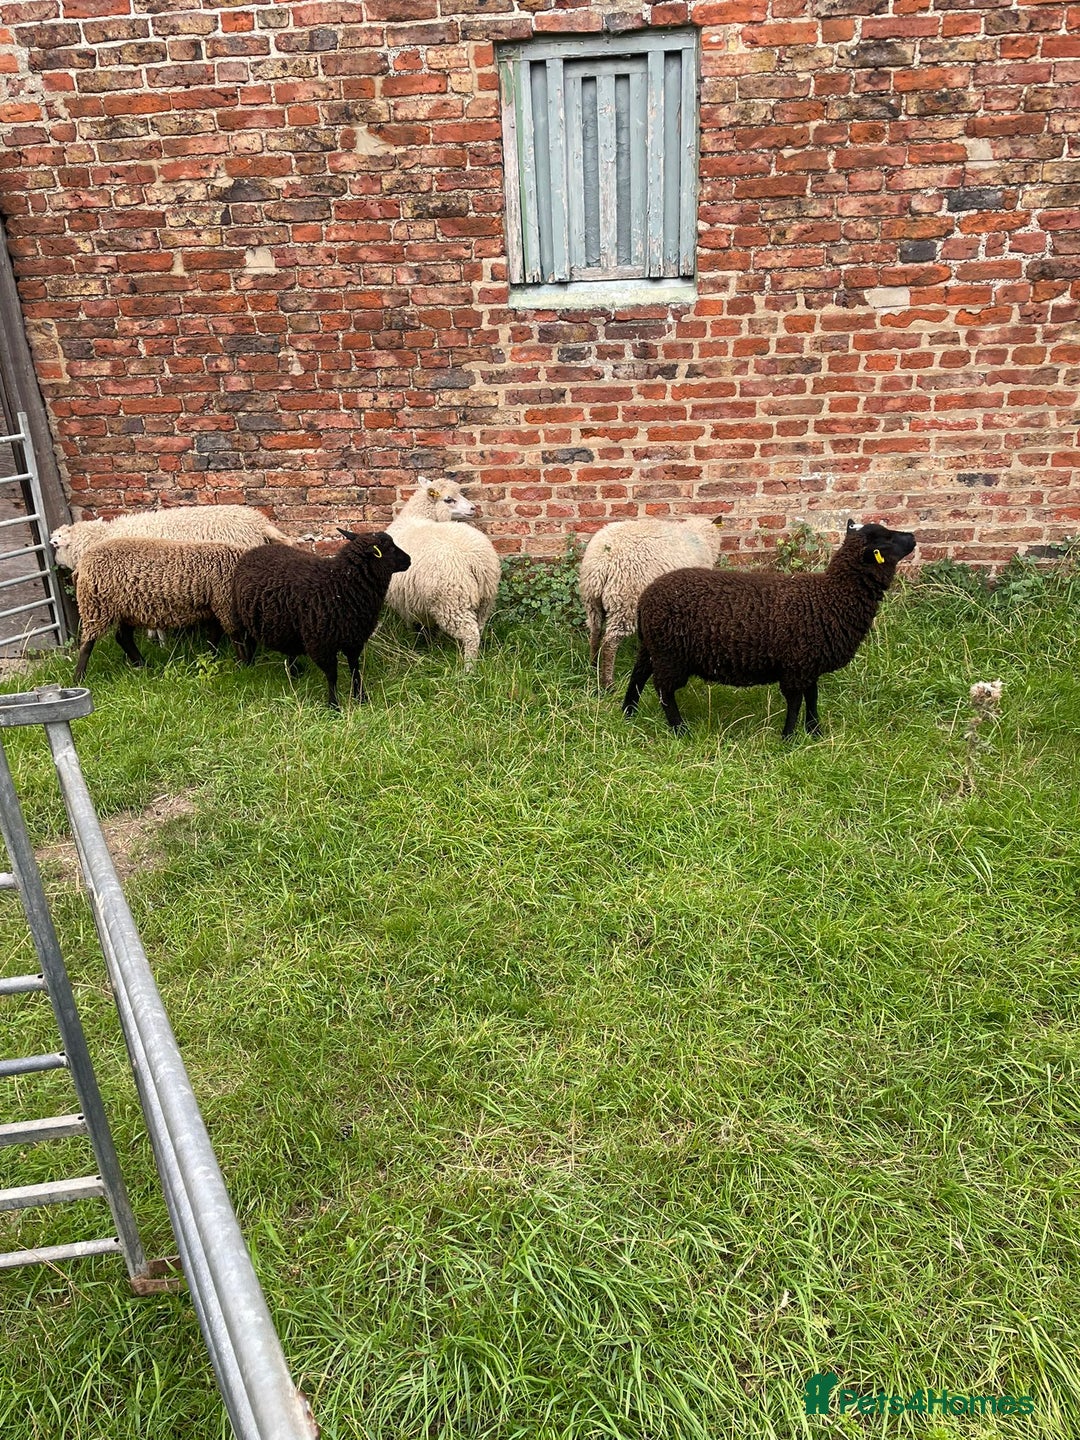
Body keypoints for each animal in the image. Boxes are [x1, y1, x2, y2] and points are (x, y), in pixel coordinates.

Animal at [72, 537, 248, 682]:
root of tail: (82, 563)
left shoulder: (215, 608)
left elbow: (214, 637)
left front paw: (209, 659)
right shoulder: (225, 605)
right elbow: (236, 637)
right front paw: (244, 666)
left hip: (127, 609)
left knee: (123, 637)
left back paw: (144, 666)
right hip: (96, 606)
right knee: (87, 643)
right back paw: (79, 679)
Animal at [232, 529, 411, 709]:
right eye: (390, 548)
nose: (409, 560)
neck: (340, 586)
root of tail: (255, 550)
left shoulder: (354, 639)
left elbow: (355, 669)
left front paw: (361, 698)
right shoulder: (321, 645)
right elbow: (332, 675)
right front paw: (334, 705)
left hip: (289, 626)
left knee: (289, 650)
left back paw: (294, 672)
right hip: (241, 619)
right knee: (246, 643)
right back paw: (249, 667)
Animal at [384, 479, 501, 668]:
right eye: (448, 499)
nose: (473, 508)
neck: (415, 517)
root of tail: (476, 560)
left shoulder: (404, 599)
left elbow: (411, 622)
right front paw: (435, 643)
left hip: (451, 601)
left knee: (471, 635)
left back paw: (468, 669)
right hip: (485, 599)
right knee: (479, 627)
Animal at [578, 515, 725, 689]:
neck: (700, 539)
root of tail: (603, 561)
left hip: (592, 601)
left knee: (595, 633)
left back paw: (593, 666)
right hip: (625, 601)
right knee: (609, 643)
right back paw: (608, 684)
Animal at [623, 520, 917, 739]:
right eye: (887, 539)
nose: (913, 536)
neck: (832, 597)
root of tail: (646, 597)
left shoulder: (809, 664)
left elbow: (812, 697)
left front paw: (815, 732)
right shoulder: (796, 666)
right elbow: (795, 701)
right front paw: (788, 738)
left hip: (654, 647)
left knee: (638, 675)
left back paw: (628, 714)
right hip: (670, 655)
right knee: (664, 689)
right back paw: (679, 729)